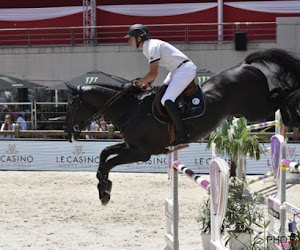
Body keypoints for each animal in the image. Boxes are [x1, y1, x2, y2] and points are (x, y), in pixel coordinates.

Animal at [64, 48, 300, 205]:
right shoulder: (131, 147)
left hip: (256, 109)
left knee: (283, 94)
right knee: (279, 94)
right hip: (252, 111)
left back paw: (293, 115)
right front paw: (103, 188)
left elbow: (107, 163)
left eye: (72, 105)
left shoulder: (139, 153)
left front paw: (104, 191)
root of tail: (245, 65)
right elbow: (104, 153)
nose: (68, 134)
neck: (129, 109)